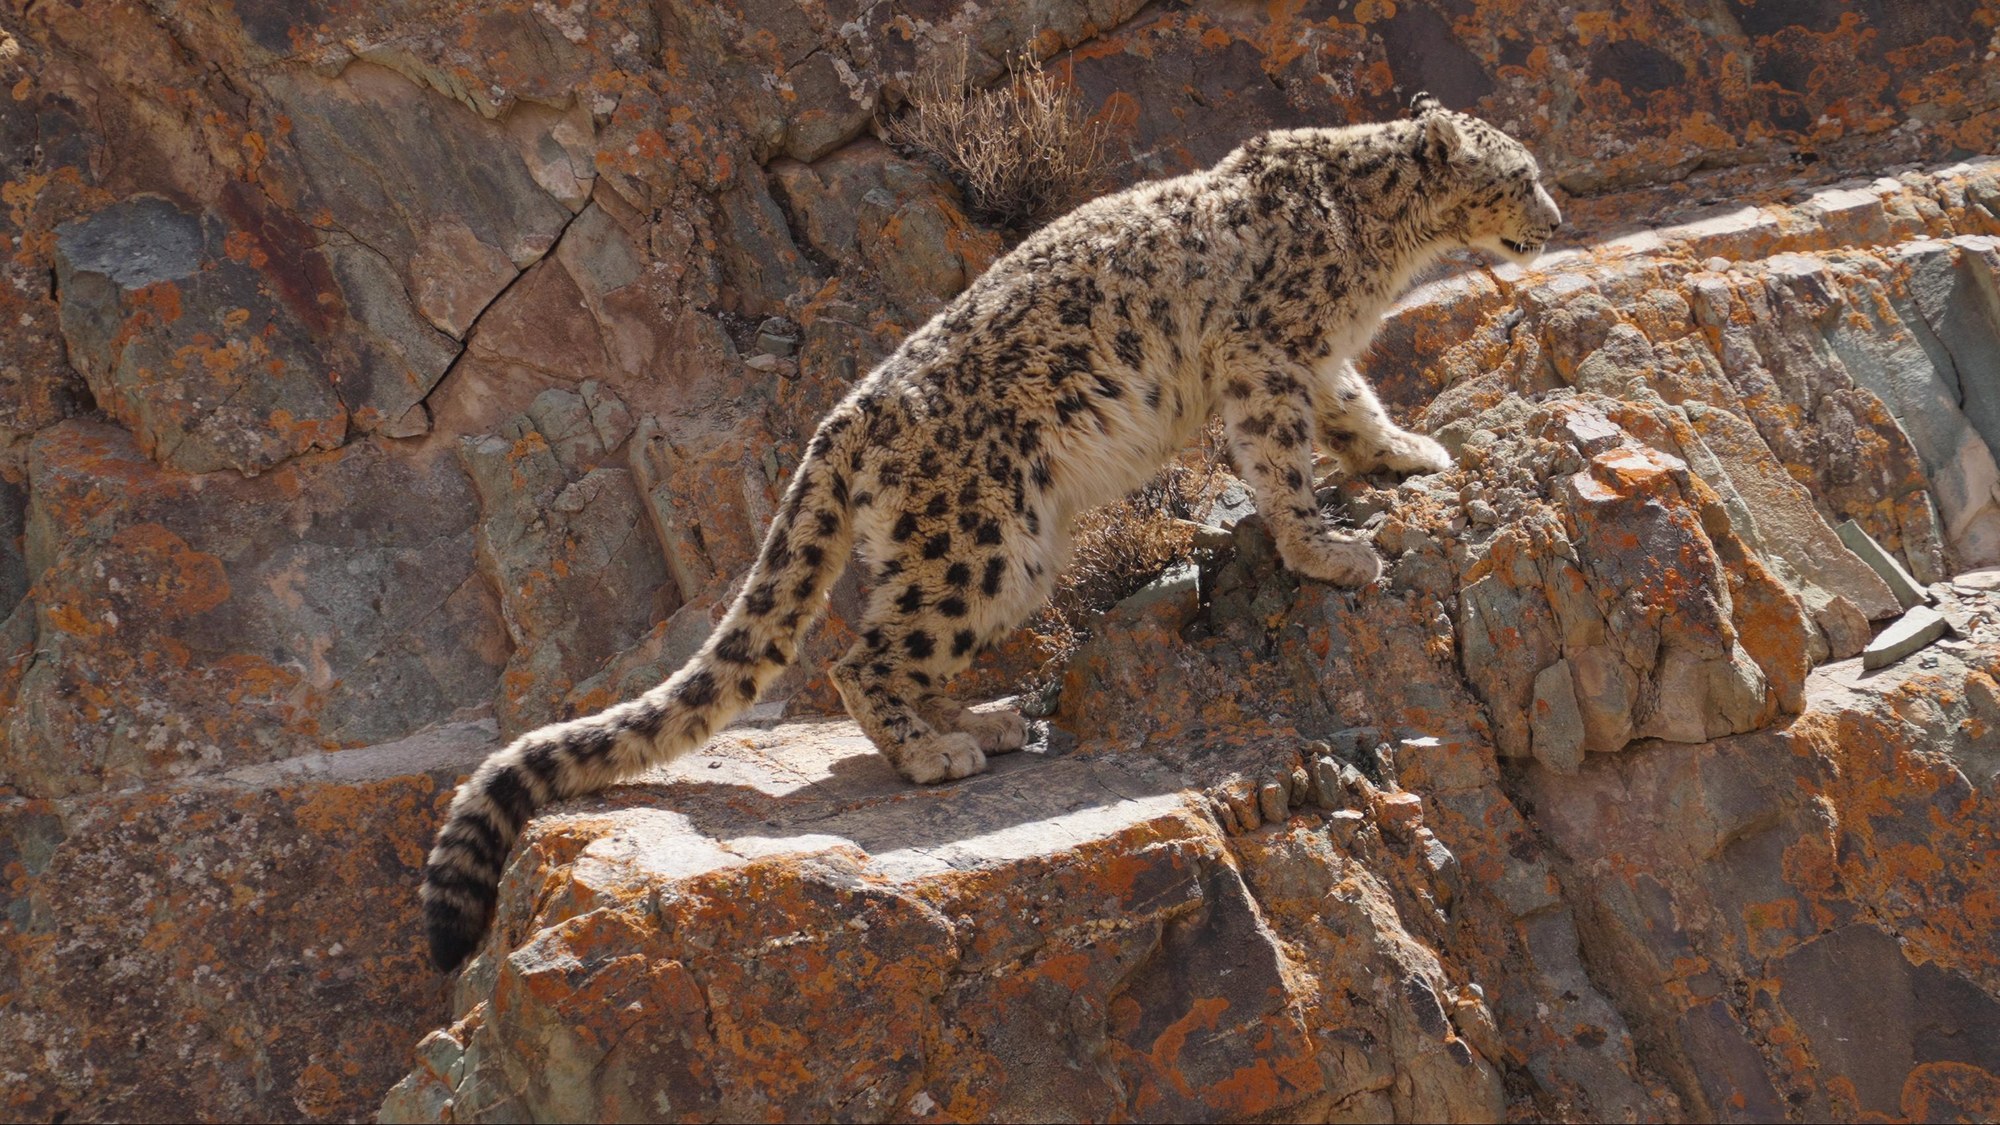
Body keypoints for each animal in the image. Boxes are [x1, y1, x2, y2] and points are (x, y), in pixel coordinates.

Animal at [421, 93, 1562, 971]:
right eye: (1521, 173)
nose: (1552, 219)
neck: (1374, 242)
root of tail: (846, 415)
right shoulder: (1266, 356)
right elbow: (1282, 459)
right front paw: (1328, 548)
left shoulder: (1314, 361)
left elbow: (1354, 408)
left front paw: (1408, 454)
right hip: (983, 538)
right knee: (863, 656)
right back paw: (936, 754)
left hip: (1000, 557)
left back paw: (987, 720)